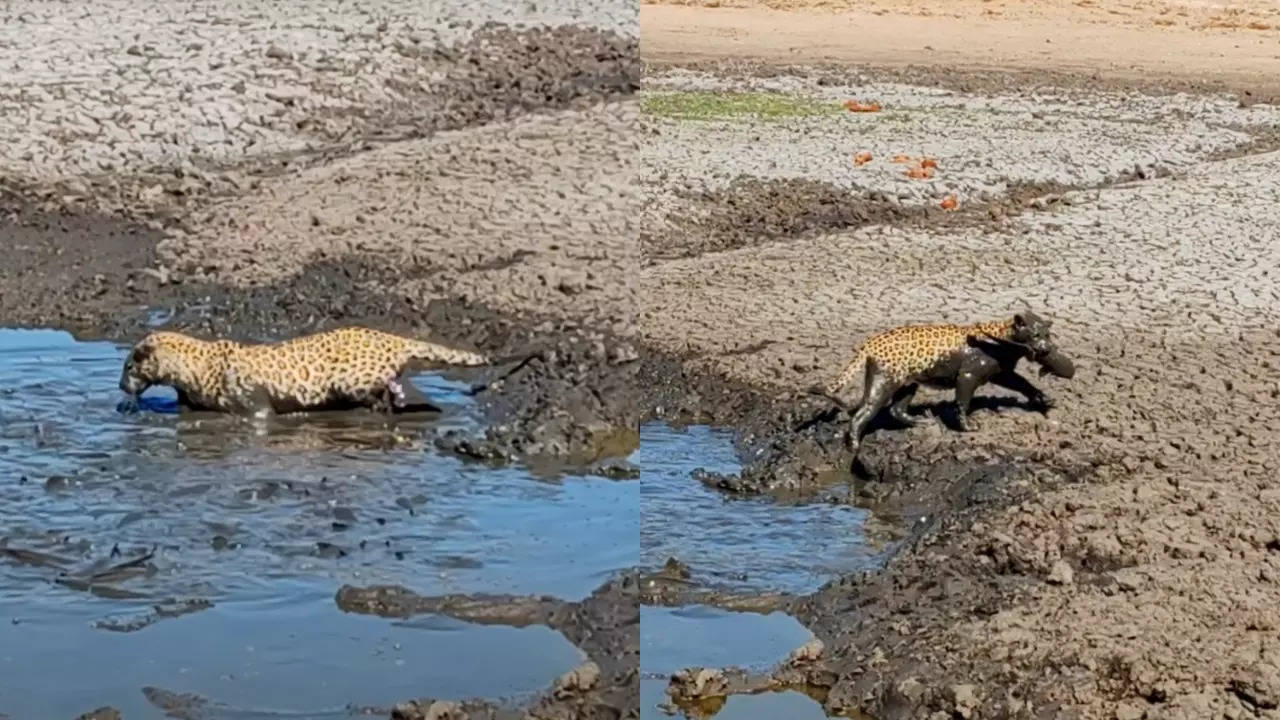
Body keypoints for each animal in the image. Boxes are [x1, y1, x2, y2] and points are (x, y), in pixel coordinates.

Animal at [814, 310, 1075, 456]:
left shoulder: (1001, 373)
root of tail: (870, 341)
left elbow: (1023, 383)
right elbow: (962, 402)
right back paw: (854, 446)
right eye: (1035, 335)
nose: (1046, 349)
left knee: (896, 409)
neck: (1004, 340)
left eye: (1048, 335)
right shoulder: (967, 376)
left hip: (908, 382)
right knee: (863, 412)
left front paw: (1043, 398)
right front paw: (967, 427)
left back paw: (921, 421)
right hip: (885, 382)